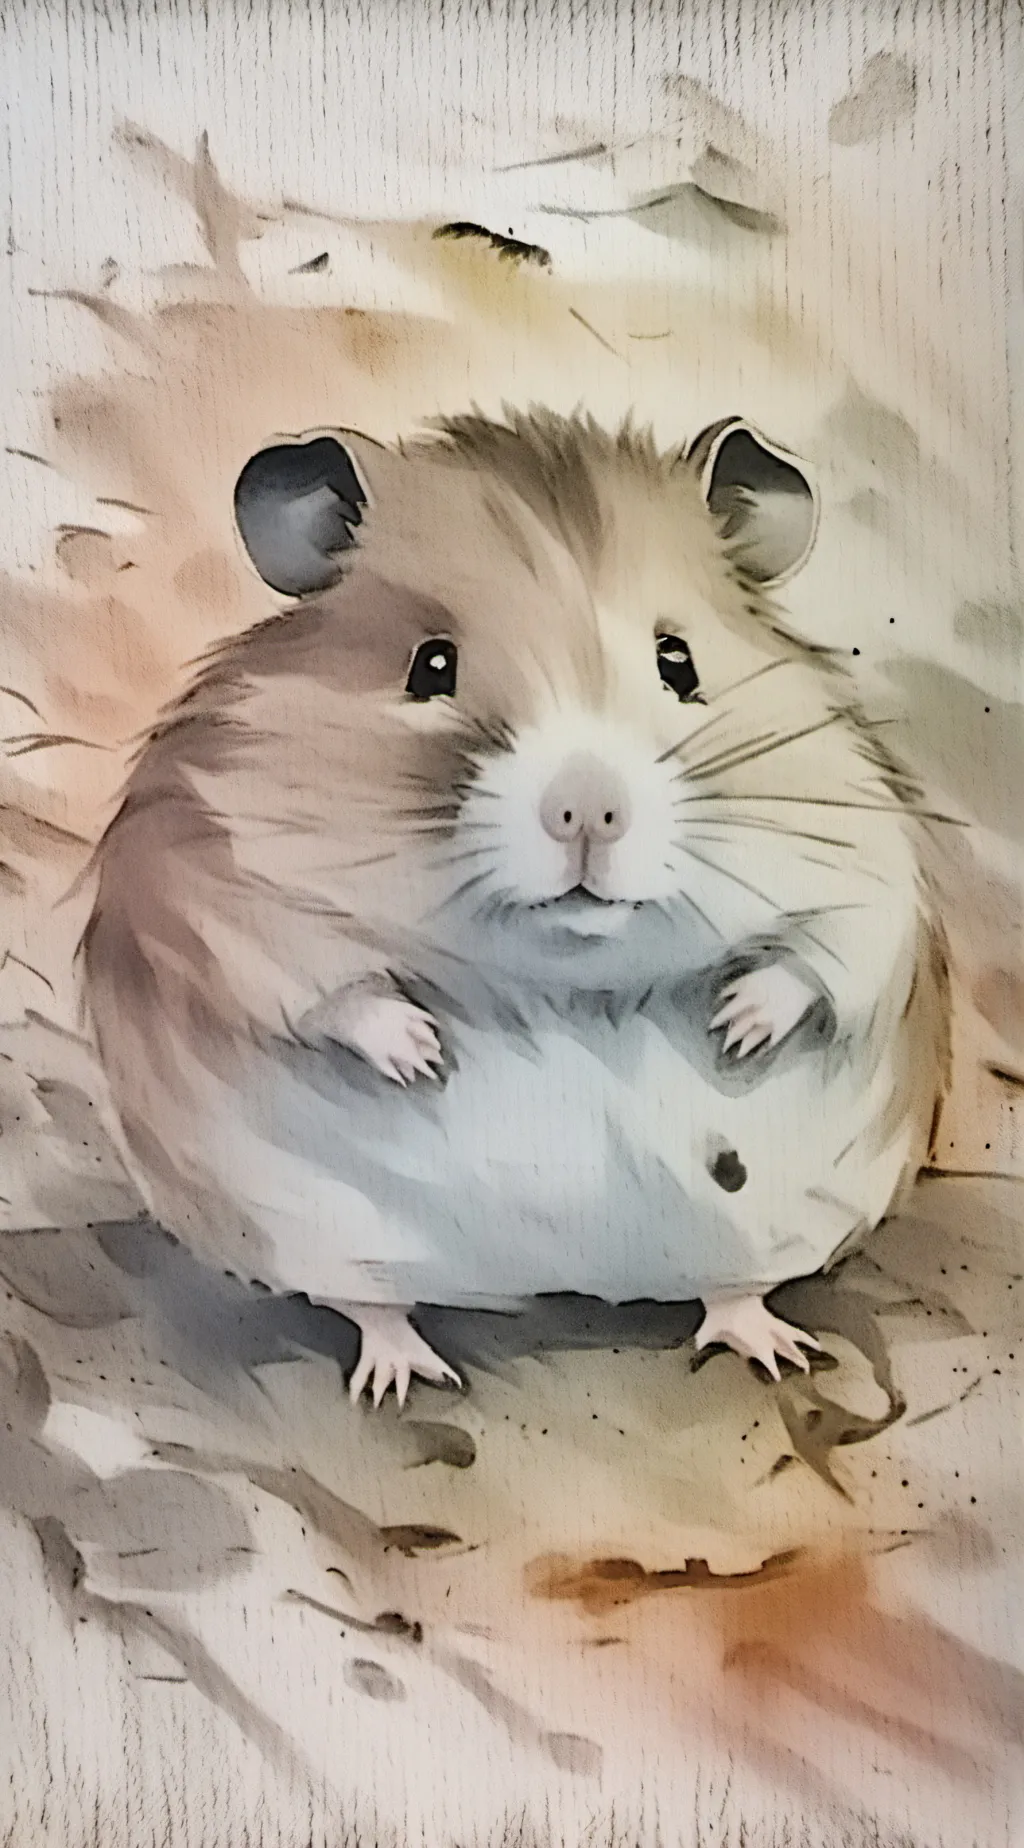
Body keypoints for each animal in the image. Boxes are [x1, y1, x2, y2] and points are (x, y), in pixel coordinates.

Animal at [81, 407, 951, 1406]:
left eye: (679, 661)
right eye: (431, 665)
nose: (588, 812)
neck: (564, 968)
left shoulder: (867, 859)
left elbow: (825, 954)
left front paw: (735, 1027)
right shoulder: (209, 883)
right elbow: (322, 981)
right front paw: (421, 1052)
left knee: (733, 1291)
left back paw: (772, 1349)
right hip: (318, 1234)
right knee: (373, 1305)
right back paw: (402, 1379)